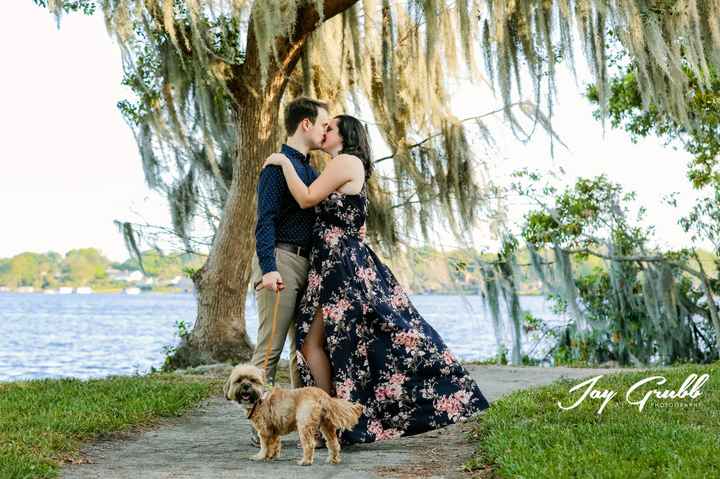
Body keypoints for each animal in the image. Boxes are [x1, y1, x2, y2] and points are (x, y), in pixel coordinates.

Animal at [224, 364, 362, 464]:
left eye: (253, 380)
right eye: (239, 380)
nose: (246, 385)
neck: (259, 398)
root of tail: (322, 395)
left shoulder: (264, 430)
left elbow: (264, 445)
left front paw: (260, 456)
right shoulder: (273, 430)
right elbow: (274, 444)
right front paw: (272, 456)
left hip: (304, 424)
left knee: (309, 444)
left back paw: (305, 461)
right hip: (326, 425)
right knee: (333, 443)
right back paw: (333, 459)